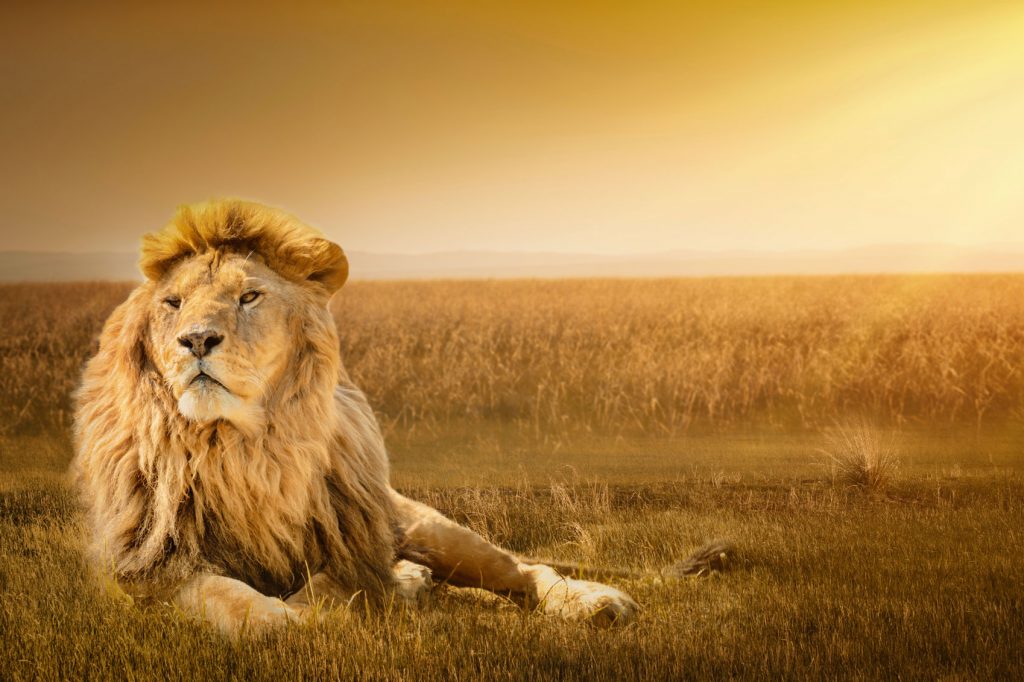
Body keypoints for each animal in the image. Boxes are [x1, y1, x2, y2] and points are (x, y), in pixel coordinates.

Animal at [71, 199, 726, 635]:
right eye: (172, 303)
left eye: (249, 296)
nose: (196, 340)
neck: (242, 447)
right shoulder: (148, 567)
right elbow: (240, 604)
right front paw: (300, 617)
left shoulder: (352, 540)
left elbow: (331, 586)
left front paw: (370, 594)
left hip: (429, 527)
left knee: (523, 570)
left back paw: (591, 601)